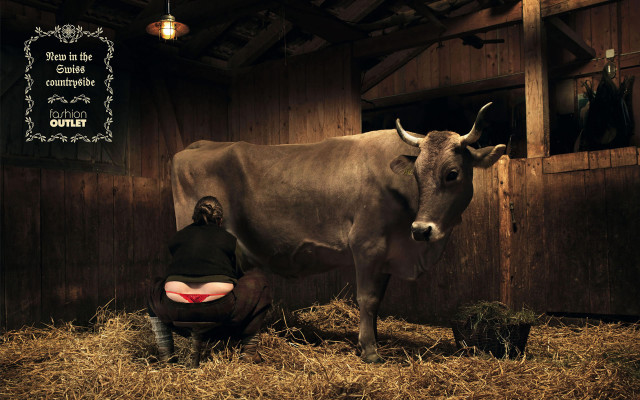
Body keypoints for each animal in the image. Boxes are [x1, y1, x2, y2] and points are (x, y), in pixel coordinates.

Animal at [171, 103, 506, 363]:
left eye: (452, 173)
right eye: (418, 176)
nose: (422, 230)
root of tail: (197, 145)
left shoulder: (387, 257)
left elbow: (378, 302)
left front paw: (373, 339)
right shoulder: (367, 246)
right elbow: (367, 299)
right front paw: (369, 350)